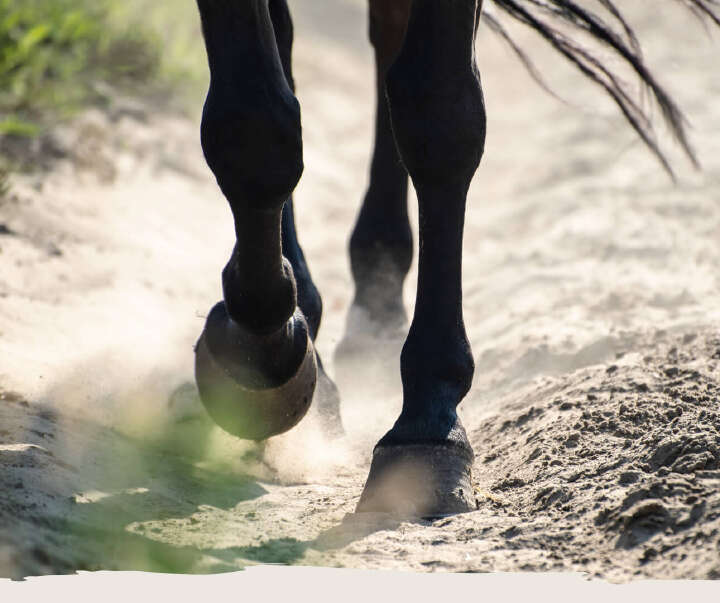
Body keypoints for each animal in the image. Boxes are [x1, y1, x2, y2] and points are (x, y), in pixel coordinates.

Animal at [192, 0, 719, 517]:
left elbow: (437, 109)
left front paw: (429, 421)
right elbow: (252, 121)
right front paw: (261, 351)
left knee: (387, 35)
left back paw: (376, 297)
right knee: (295, 48)